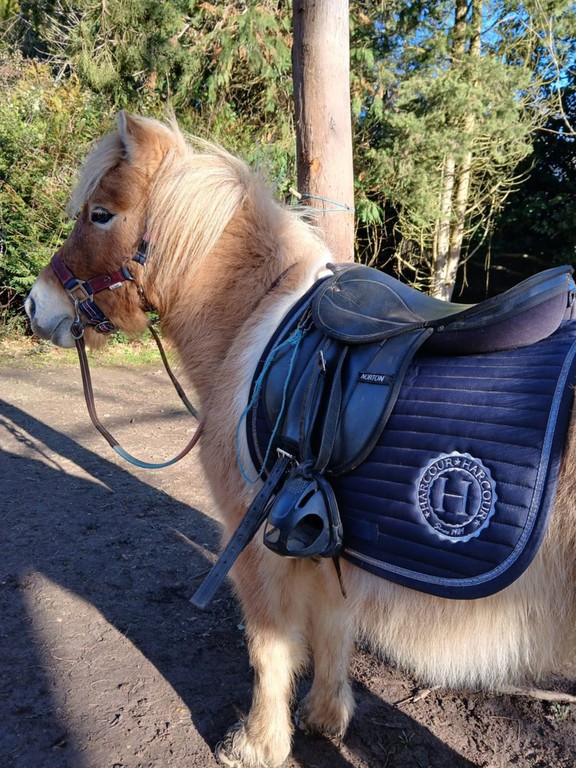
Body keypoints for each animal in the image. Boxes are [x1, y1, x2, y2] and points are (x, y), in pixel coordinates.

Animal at [25, 112, 576, 768]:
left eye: (101, 214)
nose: (34, 305)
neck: (250, 326)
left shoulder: (255, 546)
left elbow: (270, 648)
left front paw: (258, 743)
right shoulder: (322, 541)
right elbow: (333, 629)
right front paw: (324, 718)